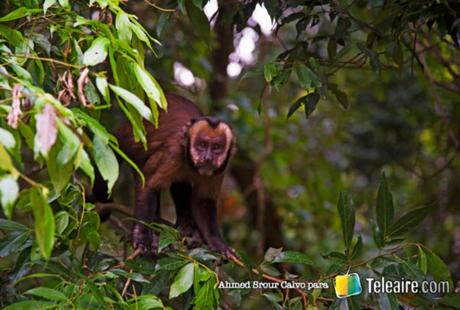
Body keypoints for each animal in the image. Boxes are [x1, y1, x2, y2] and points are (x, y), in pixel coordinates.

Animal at [117, 93, 237, 258]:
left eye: (216, 147)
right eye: (202, 145)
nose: (207, 158)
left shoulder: (221, 167)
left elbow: (203, 201)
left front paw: (217, 243)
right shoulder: (173, 152)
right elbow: (149, 186)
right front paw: (141, 235)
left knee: (180, 183)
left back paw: (186, 226)